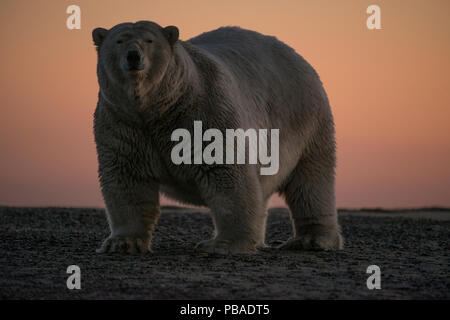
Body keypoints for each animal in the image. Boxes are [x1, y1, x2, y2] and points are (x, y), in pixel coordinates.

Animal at [93, 20, 342, 255]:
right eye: (119, 41)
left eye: (149, 40)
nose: (133, 56)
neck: (158, 109)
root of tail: (297, 56)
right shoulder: (124, 123)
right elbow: (128, 179)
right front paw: (122, 243)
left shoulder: (205, 111)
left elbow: (227, 173)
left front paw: (222, 244)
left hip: (304, 119)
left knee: (310, 181)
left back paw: (311, 239)